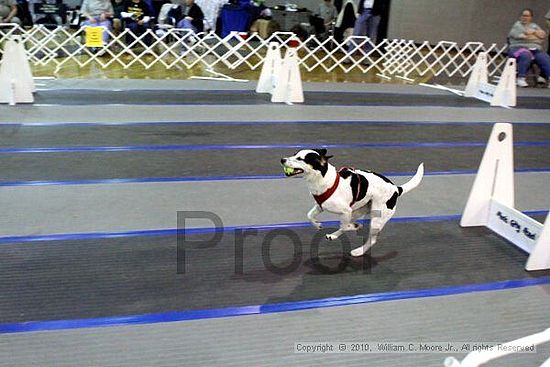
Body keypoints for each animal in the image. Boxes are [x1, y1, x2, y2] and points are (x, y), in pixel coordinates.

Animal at [282, 151, 424, 258]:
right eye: (294, 154)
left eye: (300, 159)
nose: (282, 159)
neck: (324, 180)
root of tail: (396, 189)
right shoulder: (321, 206)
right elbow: (309, 215)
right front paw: (317, 225)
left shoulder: (345, 211)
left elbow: (345, 226)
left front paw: (356, 227)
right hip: (358, 210)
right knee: (346, 225)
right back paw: (333, 236)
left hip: (376, 220)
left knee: (371, 239)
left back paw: (358, 250)